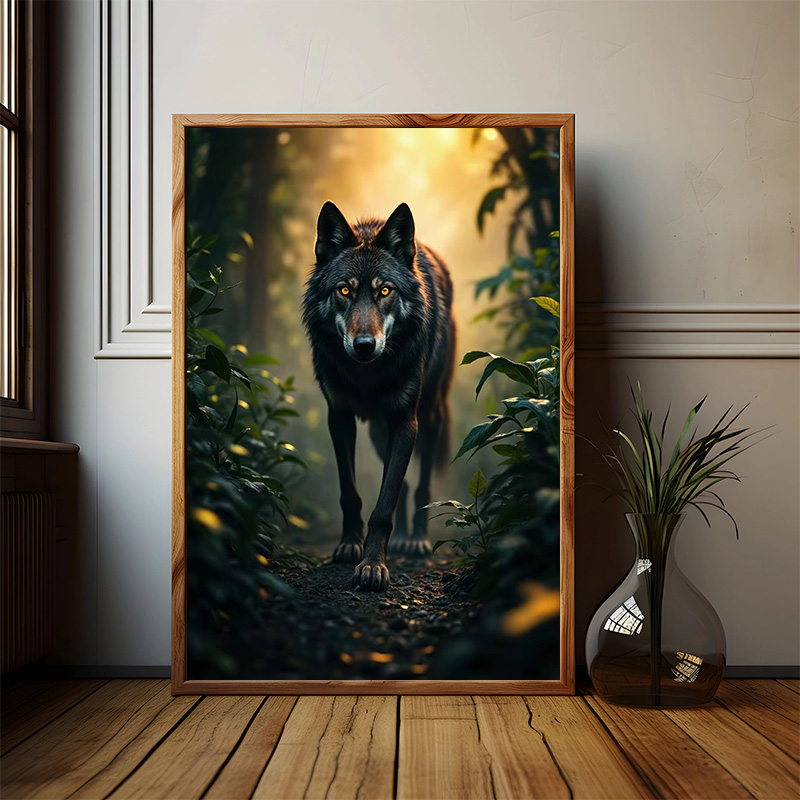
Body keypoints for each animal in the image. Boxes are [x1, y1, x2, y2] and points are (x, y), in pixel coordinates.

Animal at [302, 201, 457, 591]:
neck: (367, 375)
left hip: (430, 416)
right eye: (344, 291)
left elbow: (385, 503)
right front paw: (349, 546)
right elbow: (352, 492)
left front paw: (373, 565)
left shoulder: (405, 420)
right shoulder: (339, 416)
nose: (364, 345)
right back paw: (400, 538)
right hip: (376, 431)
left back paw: (415, 540)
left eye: (384, 292)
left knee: (418, 486)